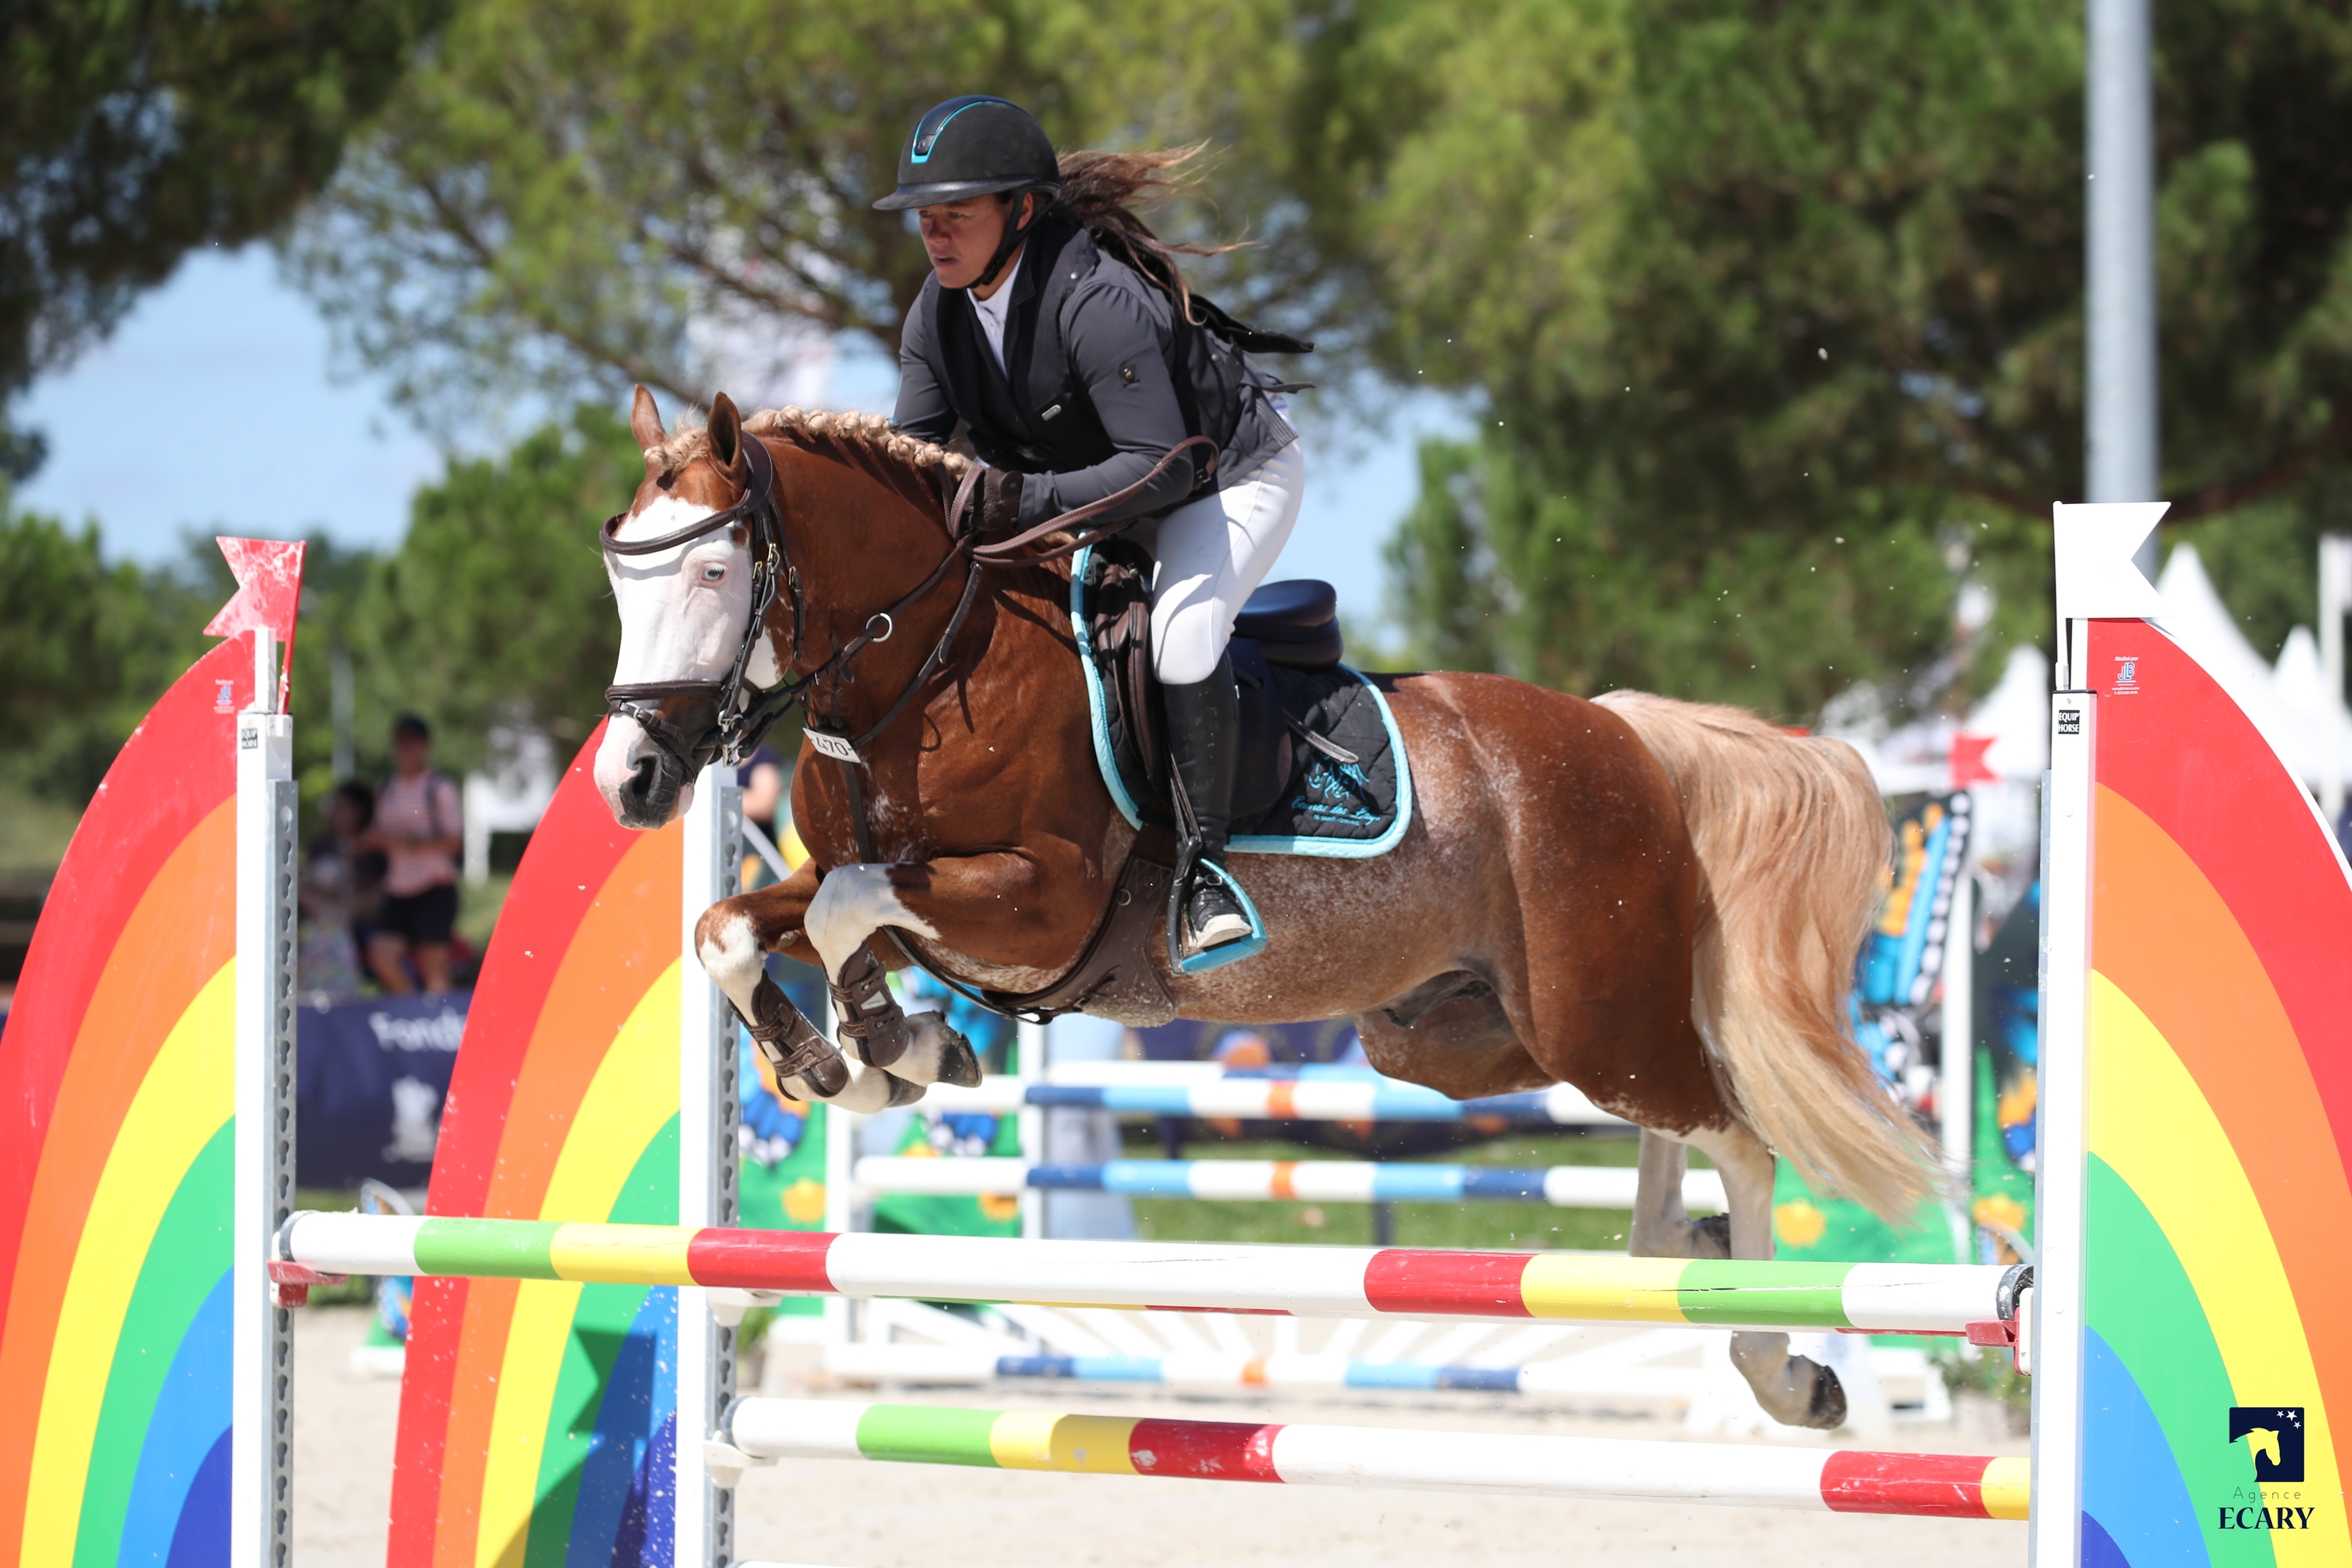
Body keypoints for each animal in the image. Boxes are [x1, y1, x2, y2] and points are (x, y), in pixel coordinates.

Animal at [597, 385, 1938, 1429]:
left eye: (715, 570)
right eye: (620, 576)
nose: (634, 780)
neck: (923, 665)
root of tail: (1623, 733)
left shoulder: (1039, 904)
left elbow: (844, 911)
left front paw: (884, 1044)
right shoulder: (866, 886)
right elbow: (742, 928)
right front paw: (858, 1054)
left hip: (1585, 1013)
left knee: (1736, 1130)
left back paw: (1782, 1367)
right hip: (1451, 1033)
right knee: (1673, 1105)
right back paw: (1682, 1250)